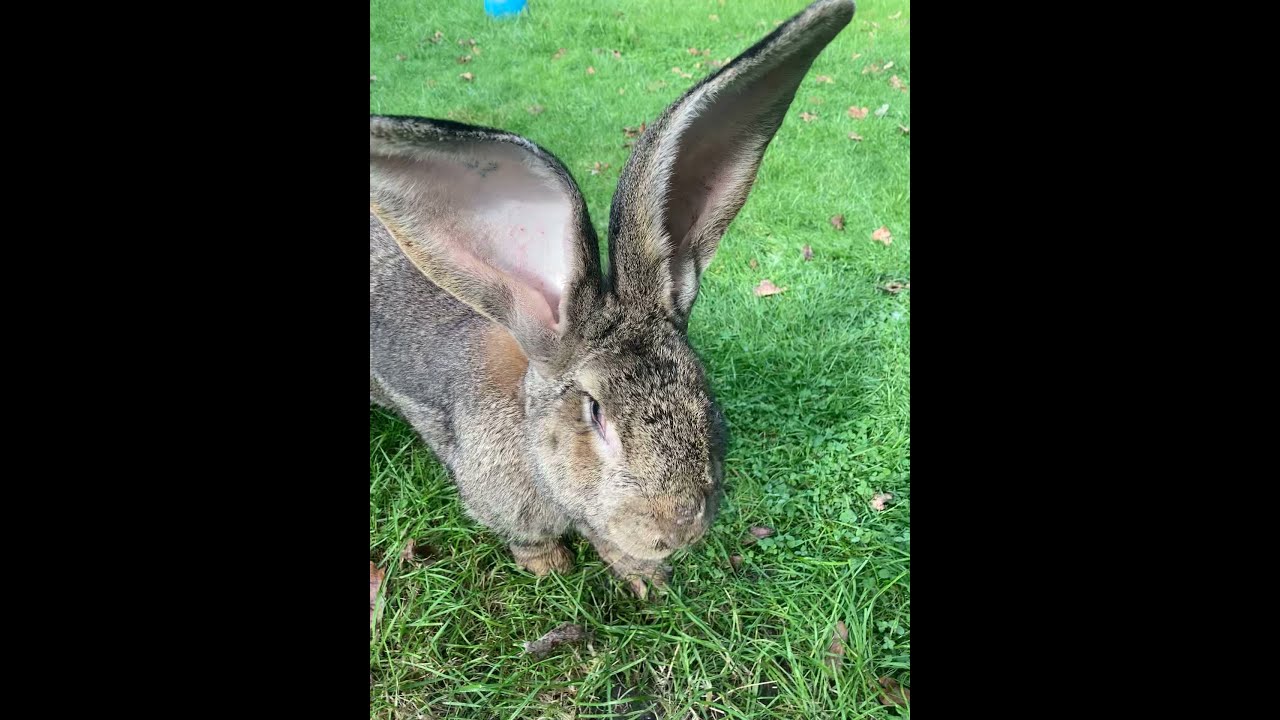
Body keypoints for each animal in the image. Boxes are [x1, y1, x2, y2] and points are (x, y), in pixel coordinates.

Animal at [370, 0, 854, 597]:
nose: (680, 527)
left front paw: (646, 577)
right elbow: (528, 539)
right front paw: (552, 567)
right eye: (595, 413)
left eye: (703, 387)